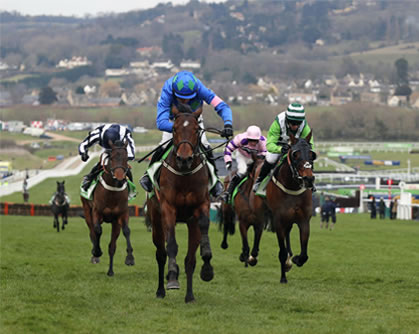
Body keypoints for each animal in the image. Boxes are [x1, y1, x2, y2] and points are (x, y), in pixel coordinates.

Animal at [80, 140, 135, 276]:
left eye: (126, 158)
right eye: (113, 157)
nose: (120, 178)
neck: (112, 192)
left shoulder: (121, 215)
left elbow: (126, 231)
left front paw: (130, 258)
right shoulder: (96, 213)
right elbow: (97, 231)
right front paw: (97, 252)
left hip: (114, 223)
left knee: (112, 246)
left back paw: (110, 271)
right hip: (87, 212)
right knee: (92, 232)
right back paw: (95, 255)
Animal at [146, 103, 215, 302]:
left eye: (196, 129)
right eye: (174, 129)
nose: (184, 159)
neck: (184, 175)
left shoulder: (201, 205)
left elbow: (203, 227)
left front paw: (207, 268)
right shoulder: (168, 208)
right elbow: (171, 246)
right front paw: (172, 277)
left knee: (189, 260)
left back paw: (189, 296)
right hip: (156, 221)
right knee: (161, 254)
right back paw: (162, 289)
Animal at [253, 132, 316, 284]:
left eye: (312, 154)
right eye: (295, 154)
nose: (308, 179)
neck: (292, 187)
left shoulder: (304, 220)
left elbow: (304, 254)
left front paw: (296, 259)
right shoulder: (279, 221)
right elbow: (281, 252)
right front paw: (283, 278)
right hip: (260, 212)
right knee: (258, 229)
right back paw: (252, 256)